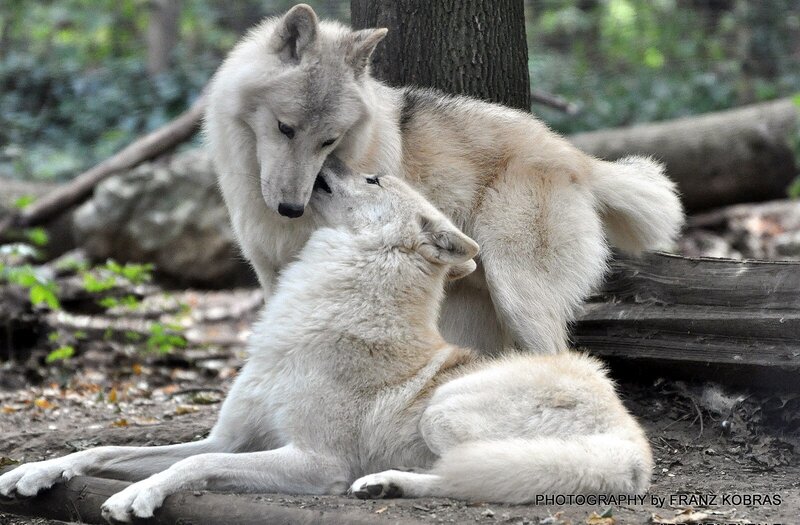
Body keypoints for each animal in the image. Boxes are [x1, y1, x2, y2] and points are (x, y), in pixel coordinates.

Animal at [0, 160, 652, 520]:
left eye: (372, 176)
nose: (328, 153)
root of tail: (635, 445)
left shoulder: (316, 462)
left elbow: (196, 463)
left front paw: (138, 495)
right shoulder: (230, 436)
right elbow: (108, 448)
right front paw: (36, 470)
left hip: (443, 412)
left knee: (470, 478)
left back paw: (386, 484)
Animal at [205, 4, 684, 355]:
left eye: (329, 141)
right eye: (285, 128)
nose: (291, 208)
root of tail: (575, 155)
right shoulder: (272, 275)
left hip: (517, 296)